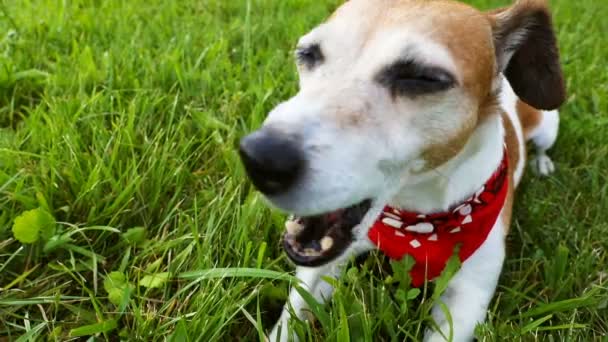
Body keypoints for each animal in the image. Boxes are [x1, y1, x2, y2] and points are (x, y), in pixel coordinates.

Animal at [238, 0, 564, 340]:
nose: (258, 158)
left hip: (548, 125)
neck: (416, 221)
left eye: (422, 77)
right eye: (308, 53)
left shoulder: (467, 297)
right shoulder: (321, 268)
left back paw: (542, 163)